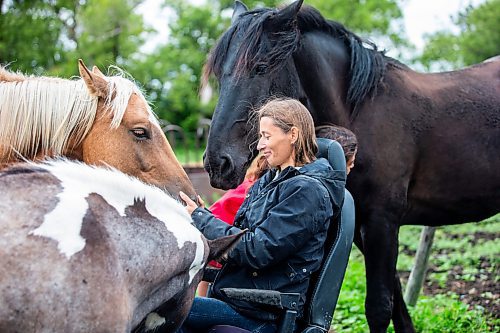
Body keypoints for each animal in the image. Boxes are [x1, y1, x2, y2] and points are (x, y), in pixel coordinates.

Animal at [200, 0, 500, 332]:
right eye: (219, 74)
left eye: (261, 68)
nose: (217, 163)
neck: (363, 112)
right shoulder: (360, 228)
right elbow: (398, 304)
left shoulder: (383, 222)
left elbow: (379, 307)